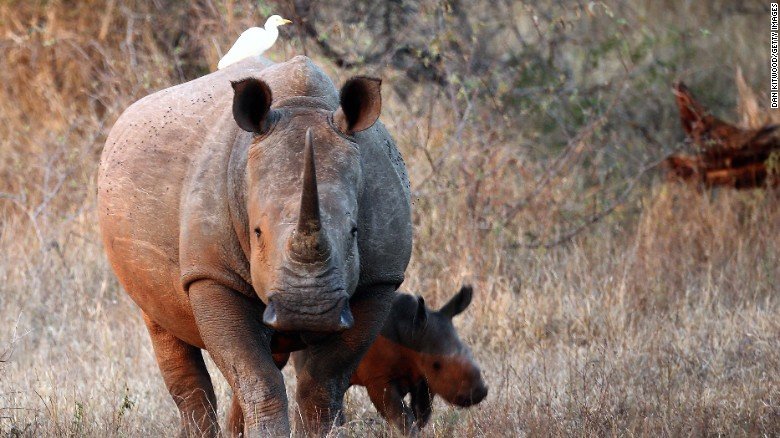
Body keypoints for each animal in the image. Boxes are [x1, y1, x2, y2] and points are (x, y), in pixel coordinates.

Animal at [97, 56, 412, 436]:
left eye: (354, 232)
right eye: (257, 232)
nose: (308, 310)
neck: (301, 105)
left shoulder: (380, 279)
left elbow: (322, 383)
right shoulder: (211, 274)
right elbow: (258, 377)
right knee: (164, 328)